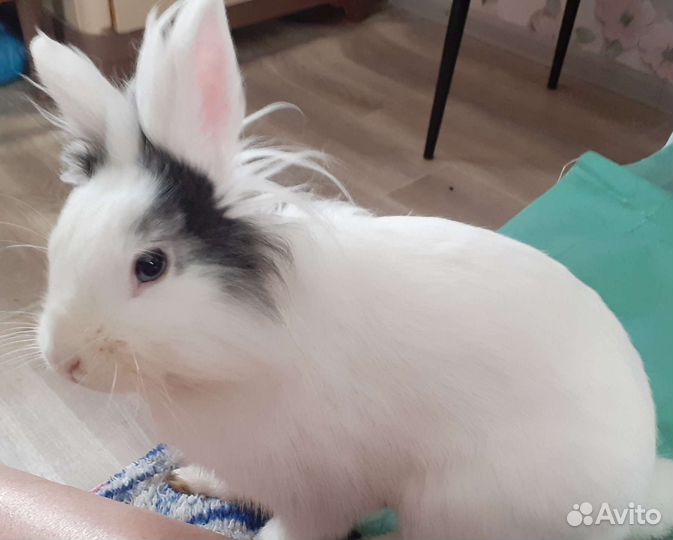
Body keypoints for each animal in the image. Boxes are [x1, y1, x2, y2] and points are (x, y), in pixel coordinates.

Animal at [30, 0, 672, 538]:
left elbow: (302, 527)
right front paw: (194, 478)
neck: (242, 352)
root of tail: (638, 487)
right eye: (59, 240)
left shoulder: (321, 492)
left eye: (151, 266)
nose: (64, 363)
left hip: (455, 509)